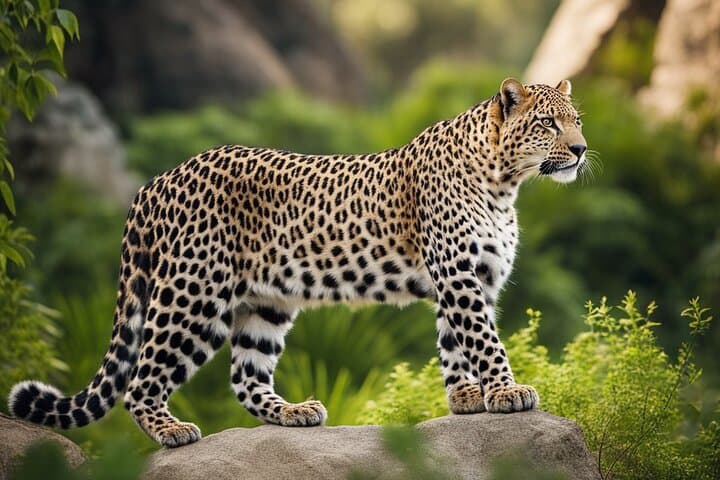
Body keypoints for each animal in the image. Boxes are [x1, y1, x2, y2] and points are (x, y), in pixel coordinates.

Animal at [9, 78, 587, 448]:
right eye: (546, 123)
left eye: (576, 121)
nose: (581, 149)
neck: (504, 183)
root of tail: (155, 182)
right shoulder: (459, 274)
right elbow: (483, 339)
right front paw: (508, 391)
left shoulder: (471, 278)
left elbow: (455, 341)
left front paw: (467, 397)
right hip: (194, 293)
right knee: (141, 378)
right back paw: (172, 431)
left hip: (266, 301)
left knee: (245, 375)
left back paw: (293, 413)